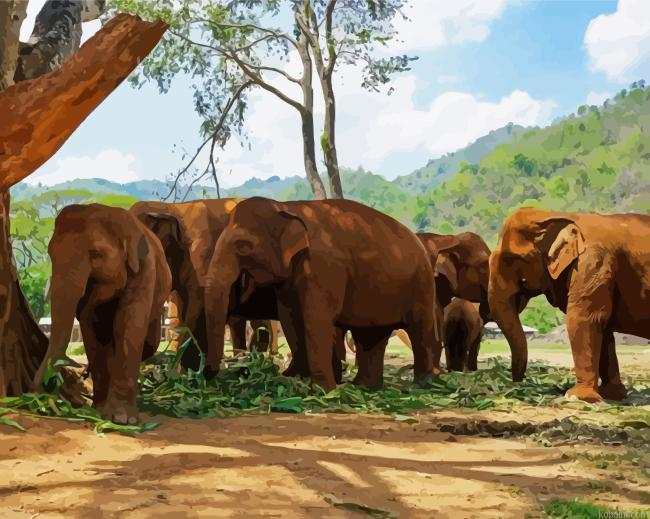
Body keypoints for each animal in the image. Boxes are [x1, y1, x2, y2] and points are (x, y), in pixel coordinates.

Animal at [33, 204, 172, 424]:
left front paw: (122, 419)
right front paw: (99, 410)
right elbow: (91, 326)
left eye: (96, 253)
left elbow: (128, 324)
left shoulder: (145, 270)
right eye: (50, 253)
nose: (42, 392)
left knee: (149, 343)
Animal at [203, 197, 441, 391]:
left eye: (243, 246)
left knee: (419, 327)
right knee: (371, 335)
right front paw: (292, 379)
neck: (285, 207)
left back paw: (422, 384)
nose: (209, 375)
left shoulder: (324, 267)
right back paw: (363, 387)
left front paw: (321, 390)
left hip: (422, 283)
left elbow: (315, 319)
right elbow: (290, 318)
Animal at [488, 207, 650, 402]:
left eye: (514, 259)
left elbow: (584, 318)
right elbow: (602, 327)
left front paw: (577, 397)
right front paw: (611, 395)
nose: (518, 383)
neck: (553, 215)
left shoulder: (593, 263)